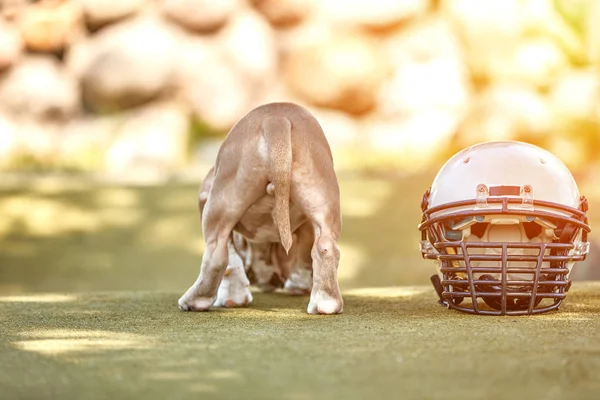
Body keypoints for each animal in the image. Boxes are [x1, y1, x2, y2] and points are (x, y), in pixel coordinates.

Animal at [178, 101, 342, 314]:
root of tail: (276, 119)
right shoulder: (306, 226)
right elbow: (304, 256)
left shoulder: (205, 199)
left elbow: (232, 260)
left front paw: (233, 297)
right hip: (321, 198)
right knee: (325, 247)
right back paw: (326, 303)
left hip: (219, 204)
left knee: (216, 257)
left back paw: (194, 301)